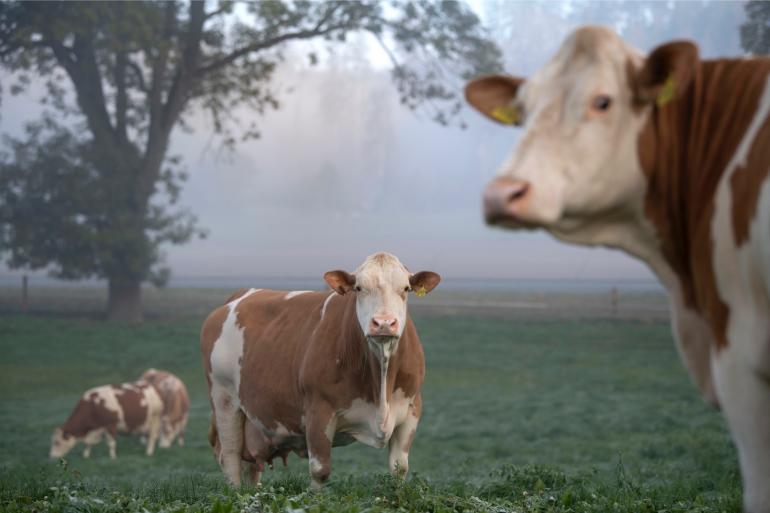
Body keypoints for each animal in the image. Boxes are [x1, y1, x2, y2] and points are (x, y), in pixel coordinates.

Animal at [198, 252, 438, 488]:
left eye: (405, 288)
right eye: (359, 288)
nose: (384, 323)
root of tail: (239, 296)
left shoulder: (412, 408)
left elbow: (399, 468)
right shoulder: (318, 410)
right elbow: (320, 470)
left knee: (249, 466)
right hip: (223, 398)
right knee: (229, 456)